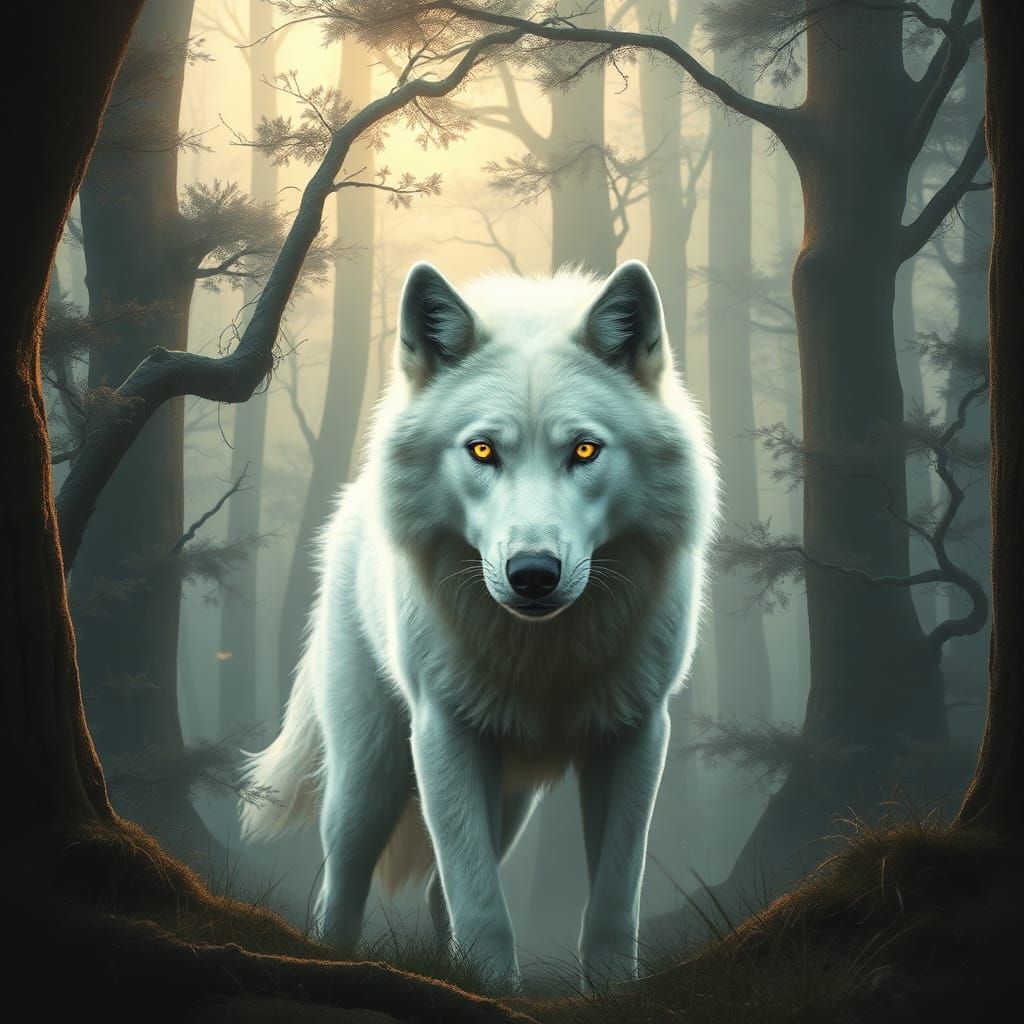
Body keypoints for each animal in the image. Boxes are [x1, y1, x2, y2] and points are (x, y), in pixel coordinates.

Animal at [240, 259, 718, 991]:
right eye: (484, 450)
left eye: (585, 450)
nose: (533, 574)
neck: (546, 655)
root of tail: (351, 503)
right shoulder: (443, 735)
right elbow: (482, 907)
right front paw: (496, 991)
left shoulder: (637, 736)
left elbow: (612, 904)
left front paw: (609, 990)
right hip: (370, 777)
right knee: (342, 887)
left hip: (511, 799)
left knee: (439, 891)